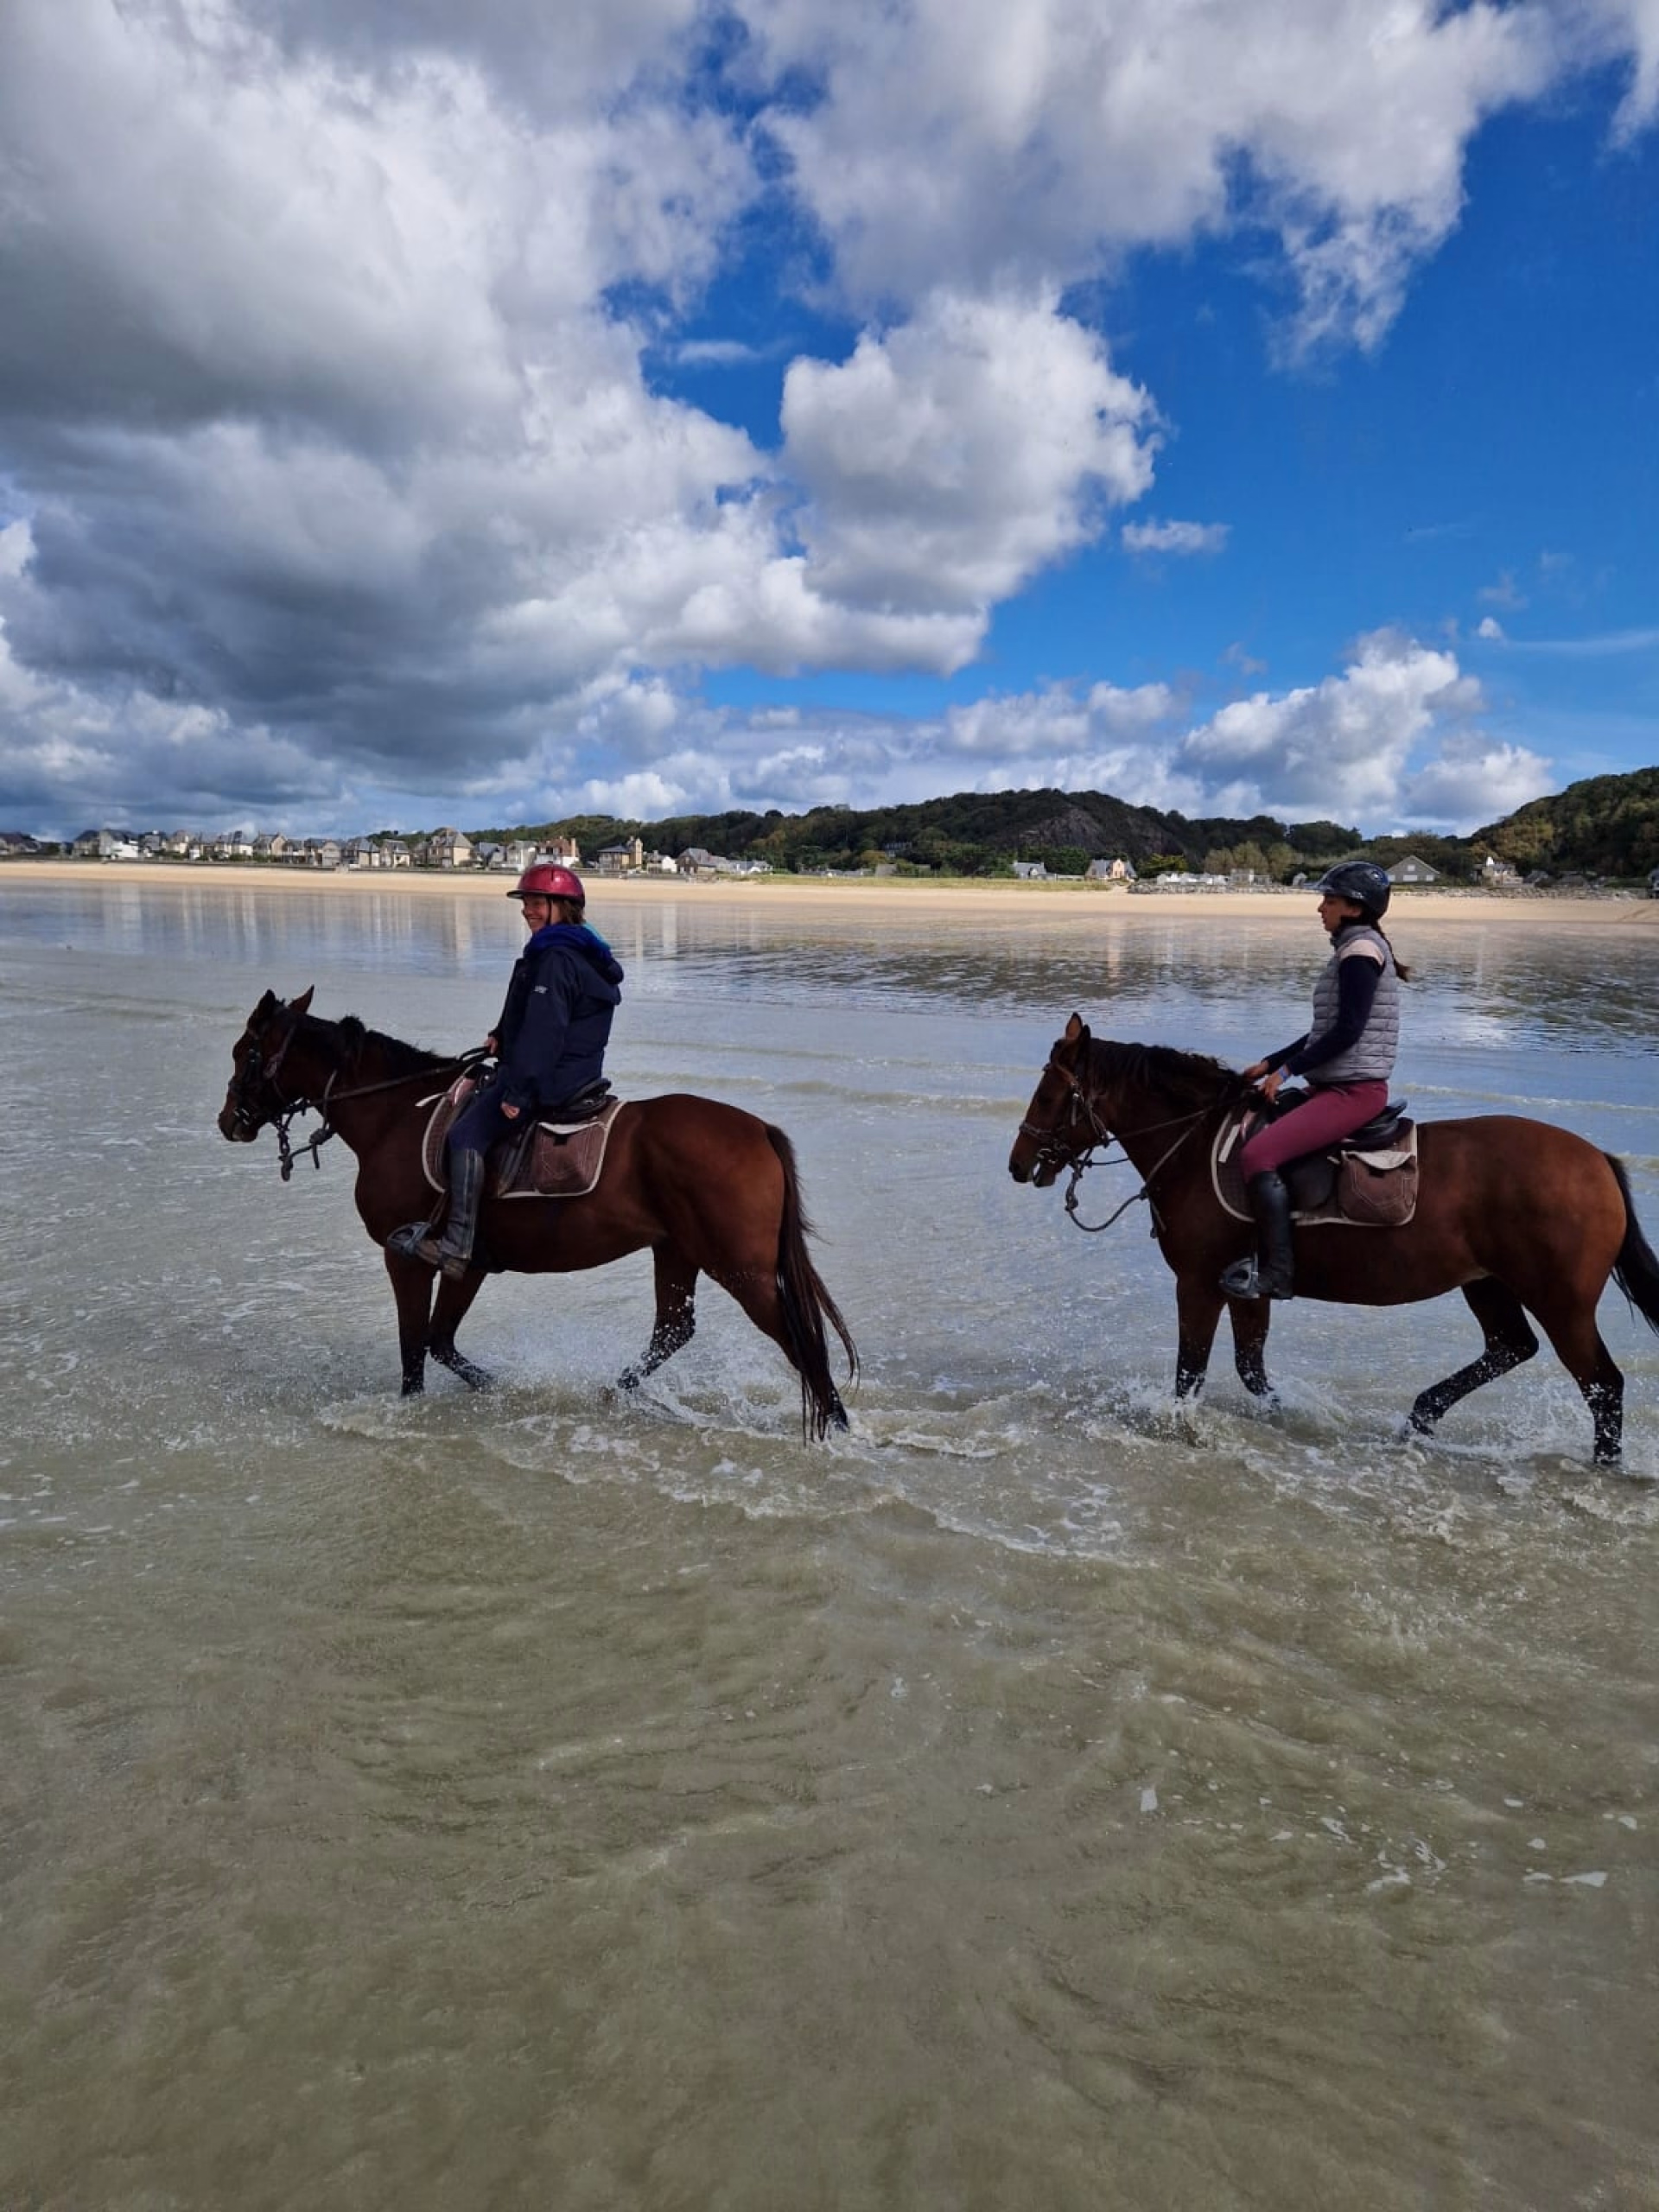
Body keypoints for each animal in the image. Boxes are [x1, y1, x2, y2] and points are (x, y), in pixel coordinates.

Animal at [218, 988, 857, 1435]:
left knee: (799, 1342)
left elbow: (413, 1351)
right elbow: (440, 1341)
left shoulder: (408, 1259)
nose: (229, 1121)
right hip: (676, 1250)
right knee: (674, 1329)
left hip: (742, 1270)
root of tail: (758, 1130)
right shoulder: (469, 1262)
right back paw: (615, 1391)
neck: (397, 1114)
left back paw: (837, 1426)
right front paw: (499, 1390)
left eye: (244, 1052)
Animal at [1009, 1014, 1659, 1467]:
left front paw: (1181, 1427)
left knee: (1603, 1386)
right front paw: (1290, 1418)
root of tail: (1596, 1161)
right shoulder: (1248, 1289)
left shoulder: (1198, 1286)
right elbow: (1252, 1370)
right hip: (1488, 1284)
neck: (1195, 1147)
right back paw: (1420, 1418)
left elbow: (1190, 1375)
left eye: (1048, 1096)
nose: (1018, 1165)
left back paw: (1602, 1465)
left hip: (1560, 1302)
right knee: (1510, 1347)